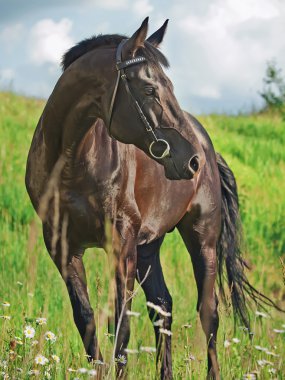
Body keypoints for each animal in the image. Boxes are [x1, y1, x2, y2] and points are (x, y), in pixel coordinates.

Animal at [25, 17, 278, 380]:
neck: (69, 161)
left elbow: (121, 328)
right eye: (149, 90)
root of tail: (208, 147)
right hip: (148, 246)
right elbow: (87, 322)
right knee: (163, 307)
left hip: (202, 239)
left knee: (209, 313)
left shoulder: (122, 245)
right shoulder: (63, 247)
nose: (191, 161)